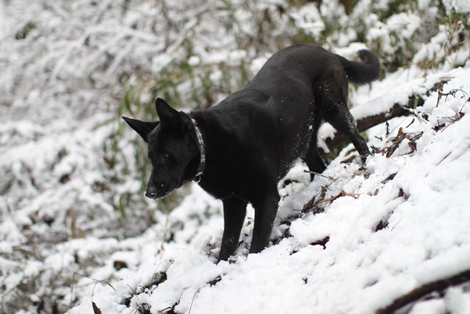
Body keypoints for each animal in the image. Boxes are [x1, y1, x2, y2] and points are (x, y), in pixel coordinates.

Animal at [121, 43, 378, 260]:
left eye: (166, 155)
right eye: (150, 158)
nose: (149, 193)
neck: (210, 148)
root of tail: (324, 49)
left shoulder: (266, 198)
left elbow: (256, 245)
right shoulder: (234, 203)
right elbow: (226, 245)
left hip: (333, 106)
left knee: (357, 137)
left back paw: (367, 163)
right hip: (303, 139)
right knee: (318, 165)